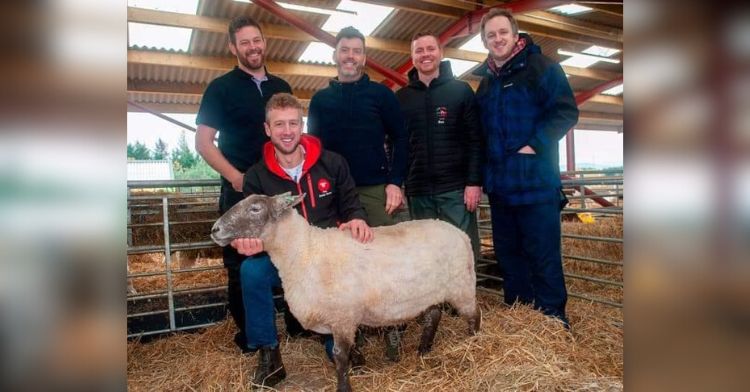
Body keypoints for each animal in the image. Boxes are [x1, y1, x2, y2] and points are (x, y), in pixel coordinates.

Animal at [212, 193, 482, 392]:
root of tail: (460, 233)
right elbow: (347, 351)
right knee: (433, 316)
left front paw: (344, 386)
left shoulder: (342, 316)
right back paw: (424, 348)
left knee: (474, 314)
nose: (215, 230)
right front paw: (358, 363)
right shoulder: (340, 317)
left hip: (461, 285)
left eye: (255, 209)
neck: (305, 252)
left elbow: (340, 355)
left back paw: (473, 340)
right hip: (431, 292)